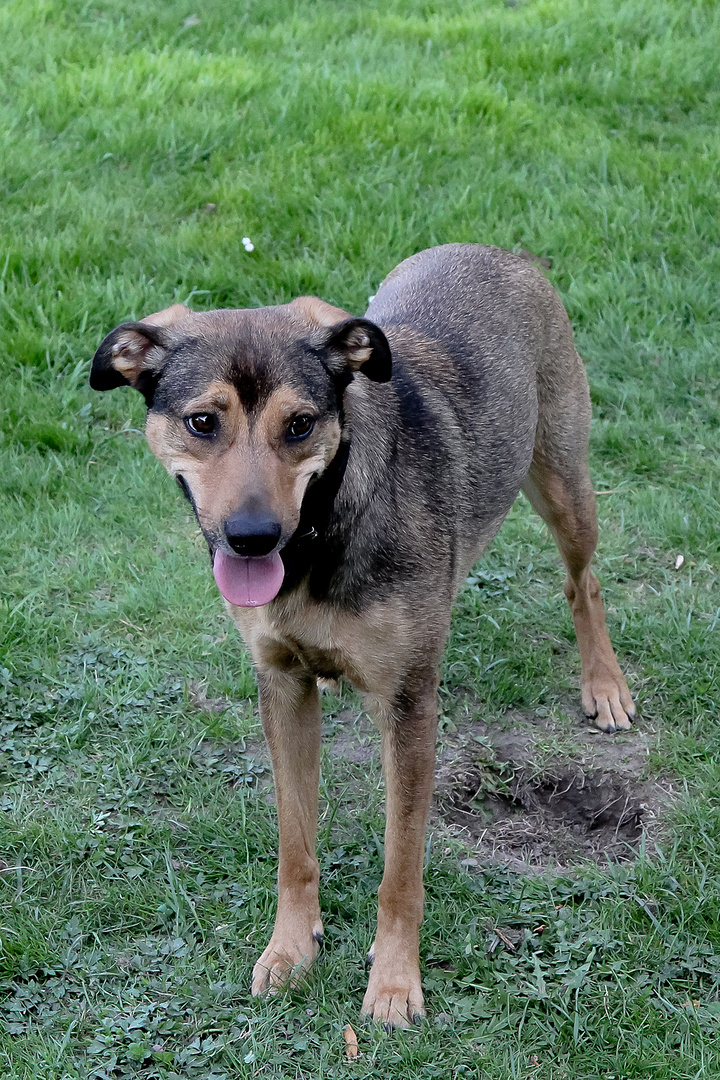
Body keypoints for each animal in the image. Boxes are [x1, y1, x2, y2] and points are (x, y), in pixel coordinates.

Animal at [91, 245, 634, 1028]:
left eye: (300, 424)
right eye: (200, 422)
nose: (251, 537)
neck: (320, 533)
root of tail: (496, 251)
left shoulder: (408, 708)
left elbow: (401, 868)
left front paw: (396, 983)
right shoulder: (283, 687)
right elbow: (295, 846)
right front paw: (291, 949)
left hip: (563, 479)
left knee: (583, 581)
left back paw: (605, 685)